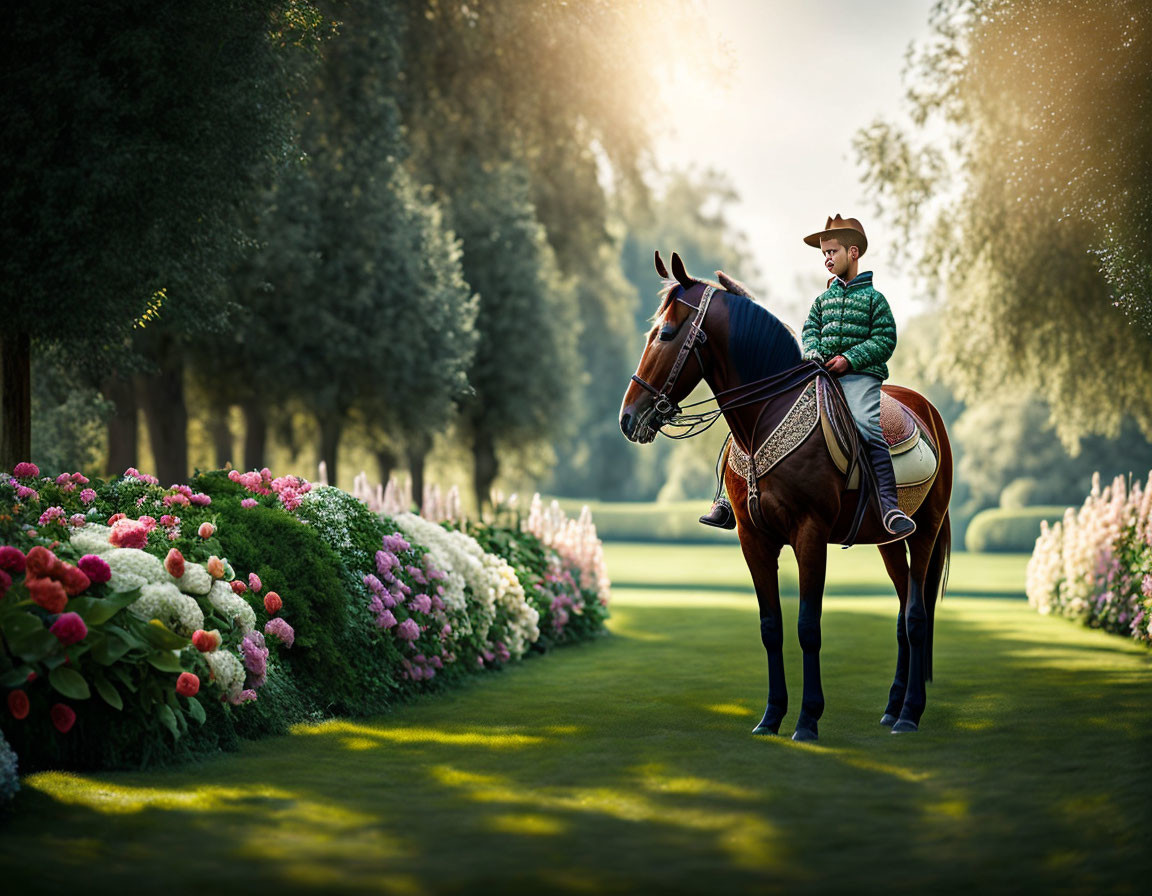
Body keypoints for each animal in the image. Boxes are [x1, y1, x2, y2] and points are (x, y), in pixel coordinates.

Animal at [622, 251, 953, 741]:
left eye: (664, 333)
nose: (628, 417)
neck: (764, 413)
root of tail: (929, 412)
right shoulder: (754, 540)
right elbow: (771, 627)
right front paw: (771, 715)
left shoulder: (810, 535)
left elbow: (807, 627)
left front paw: (808, 719)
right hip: (890, 542)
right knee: (901, 614)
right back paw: (893, 707)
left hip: (924, 530)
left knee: (915, 617)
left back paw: (909, 713)